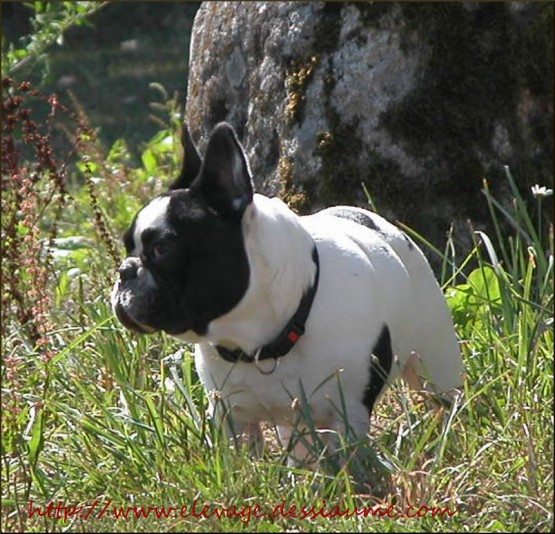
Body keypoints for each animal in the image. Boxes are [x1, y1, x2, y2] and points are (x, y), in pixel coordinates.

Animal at [111, 123, 462, 466]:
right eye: (127, 247)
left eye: (162, 248)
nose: (124, 270)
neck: (260, 342)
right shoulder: (231, 418)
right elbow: (239, 465)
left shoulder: (349, 413)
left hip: (436, 366)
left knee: (444, 401)